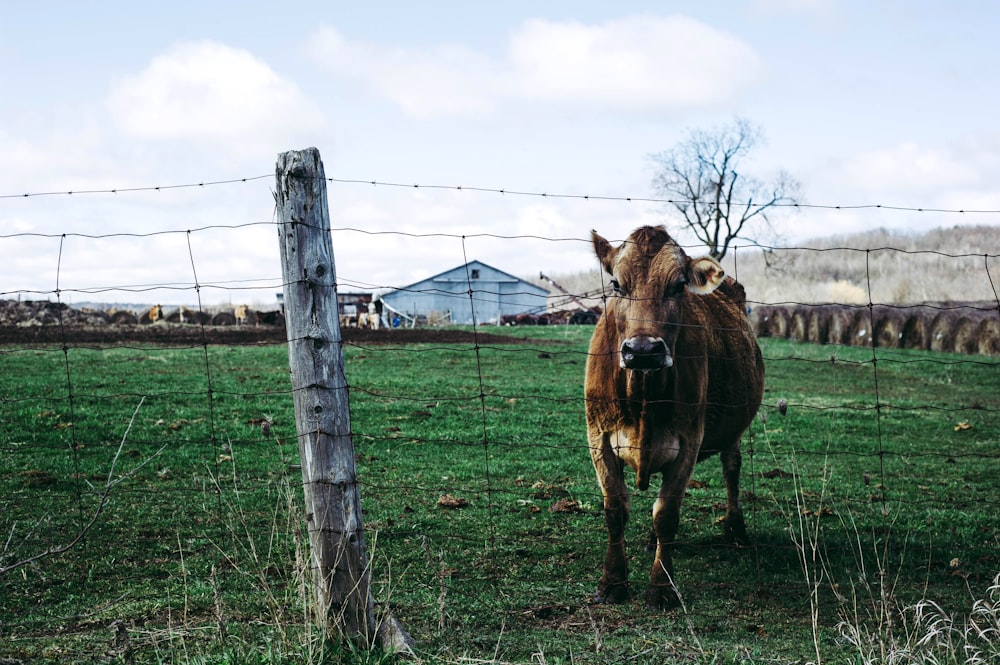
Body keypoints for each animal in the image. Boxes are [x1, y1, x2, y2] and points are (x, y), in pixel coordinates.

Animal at [584, 227, 760, 608]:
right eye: (616, 284)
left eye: (679, 286)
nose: (643, 350)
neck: (643, 400)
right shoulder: (598, 438)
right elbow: (615, 510)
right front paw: (612, 582)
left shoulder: (688, 442)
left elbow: (667, 514)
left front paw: (662, 588)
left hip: (734, 432)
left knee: (732, 470)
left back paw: (736, 529)